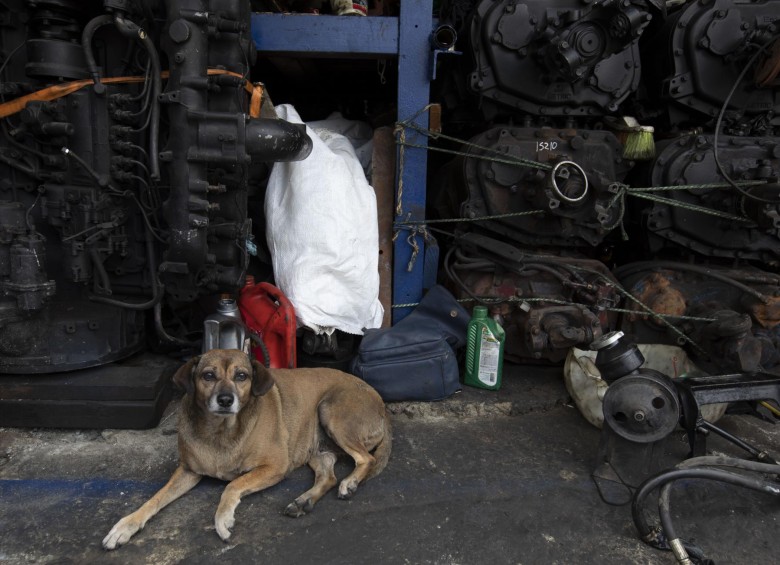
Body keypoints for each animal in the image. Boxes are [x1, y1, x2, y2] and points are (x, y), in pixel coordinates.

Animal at [103, 346, 394, 548]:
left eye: (241, 376)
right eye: (208, 376)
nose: (225, 399)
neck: (220, 431)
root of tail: (380, 401)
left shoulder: (275, 466)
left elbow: (232, 485)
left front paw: (222, 518)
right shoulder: (187, 471)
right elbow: (155, 499)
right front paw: (126, 525)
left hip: (330, 410)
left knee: (365, 460)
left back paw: (350, 483)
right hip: (313, 446)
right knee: (328, 474)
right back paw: (304, 501)